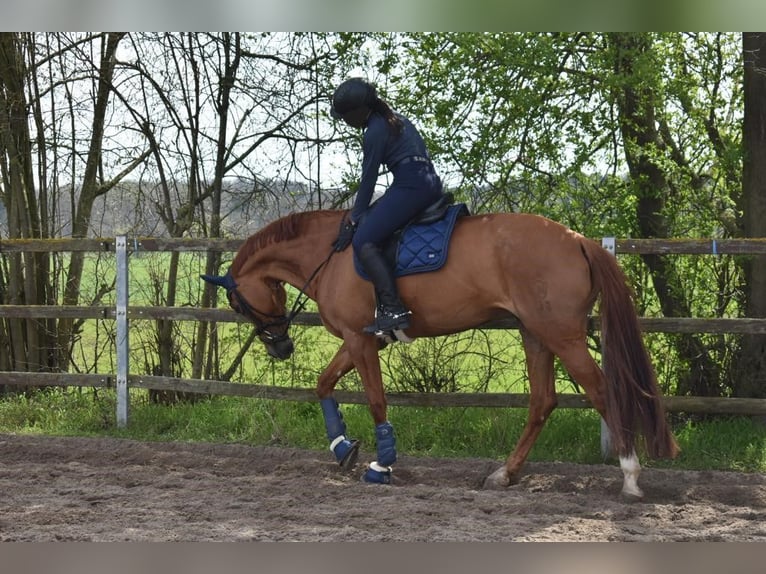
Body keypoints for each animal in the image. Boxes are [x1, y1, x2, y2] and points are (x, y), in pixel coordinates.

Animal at [201, 210, 680, 500]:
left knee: (601, 391)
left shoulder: (360, 340)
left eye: (236, 304)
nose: (280, 347)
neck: (330, 254)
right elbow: (323, 383)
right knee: (543, 401)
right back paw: (506, 473)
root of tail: (577, 239)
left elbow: (376, 401)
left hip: (561, 336)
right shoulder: (362, 340)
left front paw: (381, 464)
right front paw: (342, 448)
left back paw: (631, 477)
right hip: (536, 336)